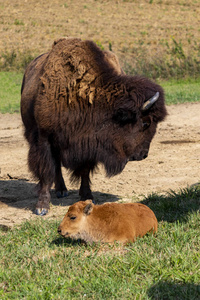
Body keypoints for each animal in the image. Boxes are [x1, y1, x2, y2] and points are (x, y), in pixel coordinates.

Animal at [20, 38, 167, 216]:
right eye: (145, 122)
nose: (143, 155)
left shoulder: (88, 145)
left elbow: (84, 171)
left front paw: (87, 197)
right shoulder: (44, 139)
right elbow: (46, 172)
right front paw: (41, 207)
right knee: (55, 167)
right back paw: (61, 191)